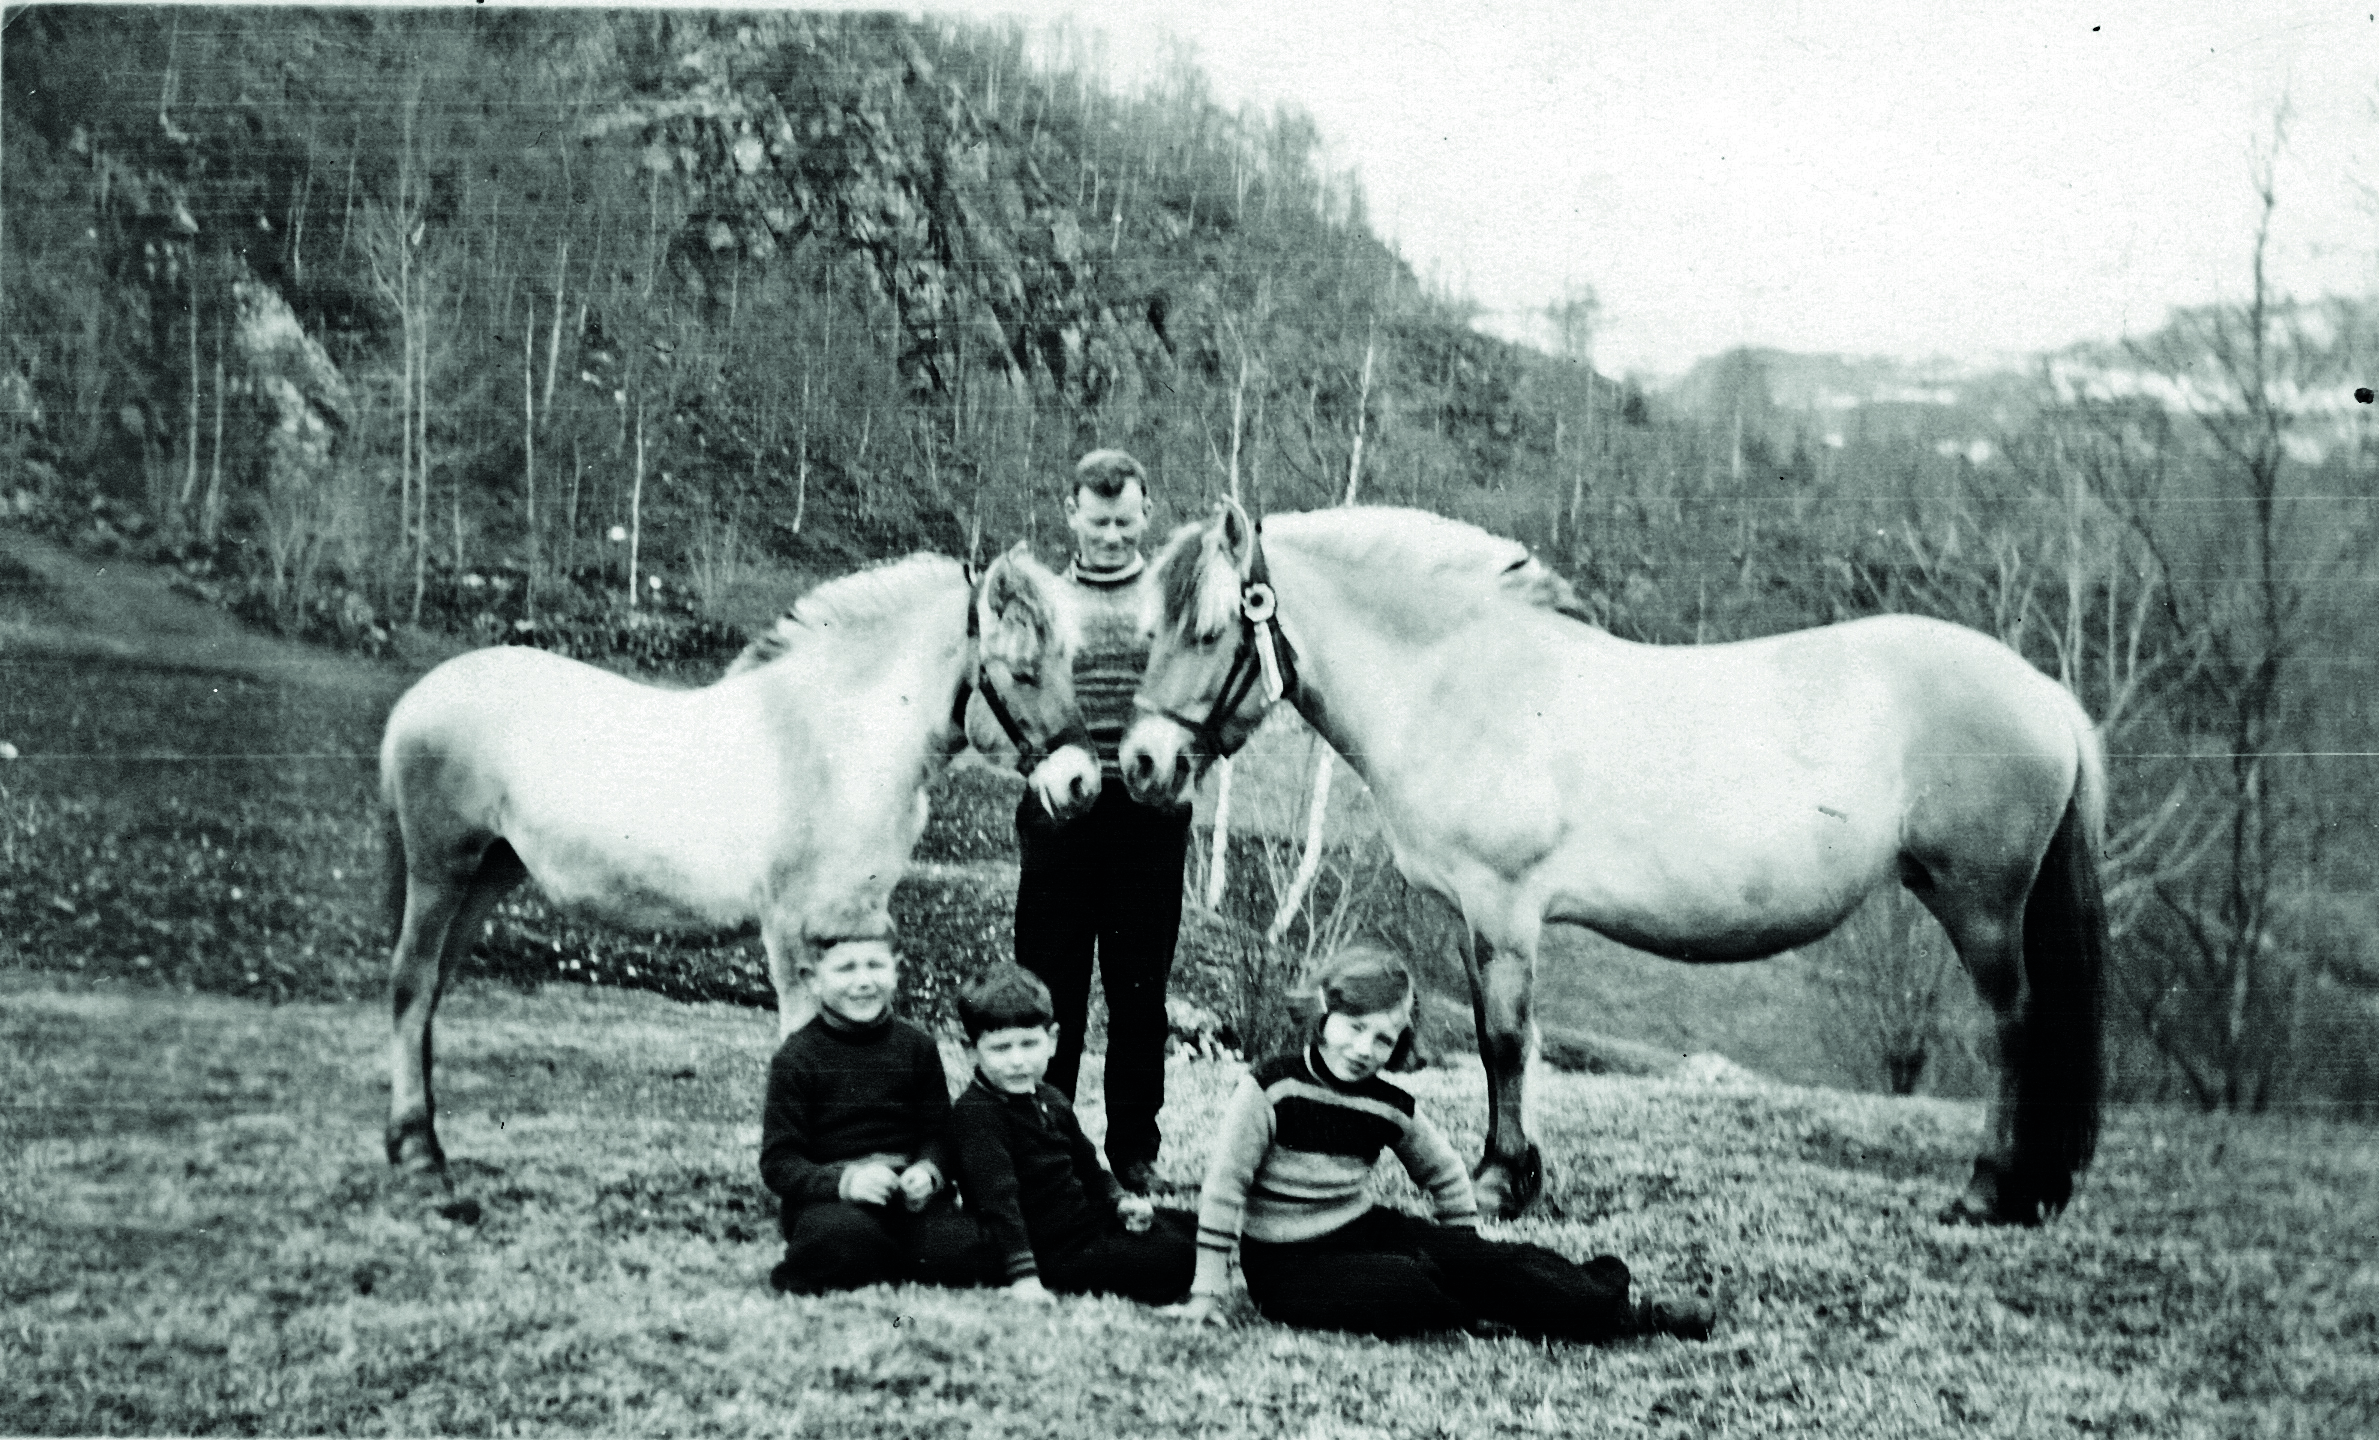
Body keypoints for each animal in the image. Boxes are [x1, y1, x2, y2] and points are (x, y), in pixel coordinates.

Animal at [375, 545, 1099, 1175]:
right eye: (1021, 671)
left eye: (1066, 664)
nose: (1081, 783)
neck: (834, 741)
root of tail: (420, 698)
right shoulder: (792, 929)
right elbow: (802, 1036)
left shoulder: (862, 918)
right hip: (441, 873)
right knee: (411, 984)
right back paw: (417, 1153)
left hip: (487, 876)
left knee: (432, 989)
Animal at [1122, 504, 2112, 1228]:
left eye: (1208, 632)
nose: (1141, 764)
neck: (1465, 682)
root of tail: (2046, 696)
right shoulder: (1482, 918)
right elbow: (1500, 1036)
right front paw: (1513, 1173)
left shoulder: (1502, 908)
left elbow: (1504, 1041)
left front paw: (1500, 1181)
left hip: (1981, 909)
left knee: (2013, 1028)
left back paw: (1986, 1190)